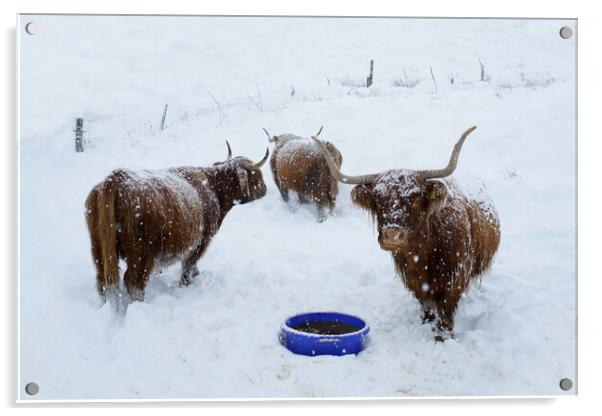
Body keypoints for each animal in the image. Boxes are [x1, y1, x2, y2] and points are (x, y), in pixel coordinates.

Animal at [84, 143, 268, 302]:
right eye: (255, 174)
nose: (265, 188)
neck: (213, 188)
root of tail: (117, 179)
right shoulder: (201, 240)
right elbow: (188, 264)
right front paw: (186, 283)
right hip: (142, 254)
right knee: (133, 282)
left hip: (98, 248)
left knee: (103, 280)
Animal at [312, 127, 500, 342]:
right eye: (377, 199)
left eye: (416, 198)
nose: (392, 235)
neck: (423, 253)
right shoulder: (414, 281)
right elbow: (425, 304)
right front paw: (425, 323)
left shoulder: (453, 280)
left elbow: (445, 311)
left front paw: (443, 337)